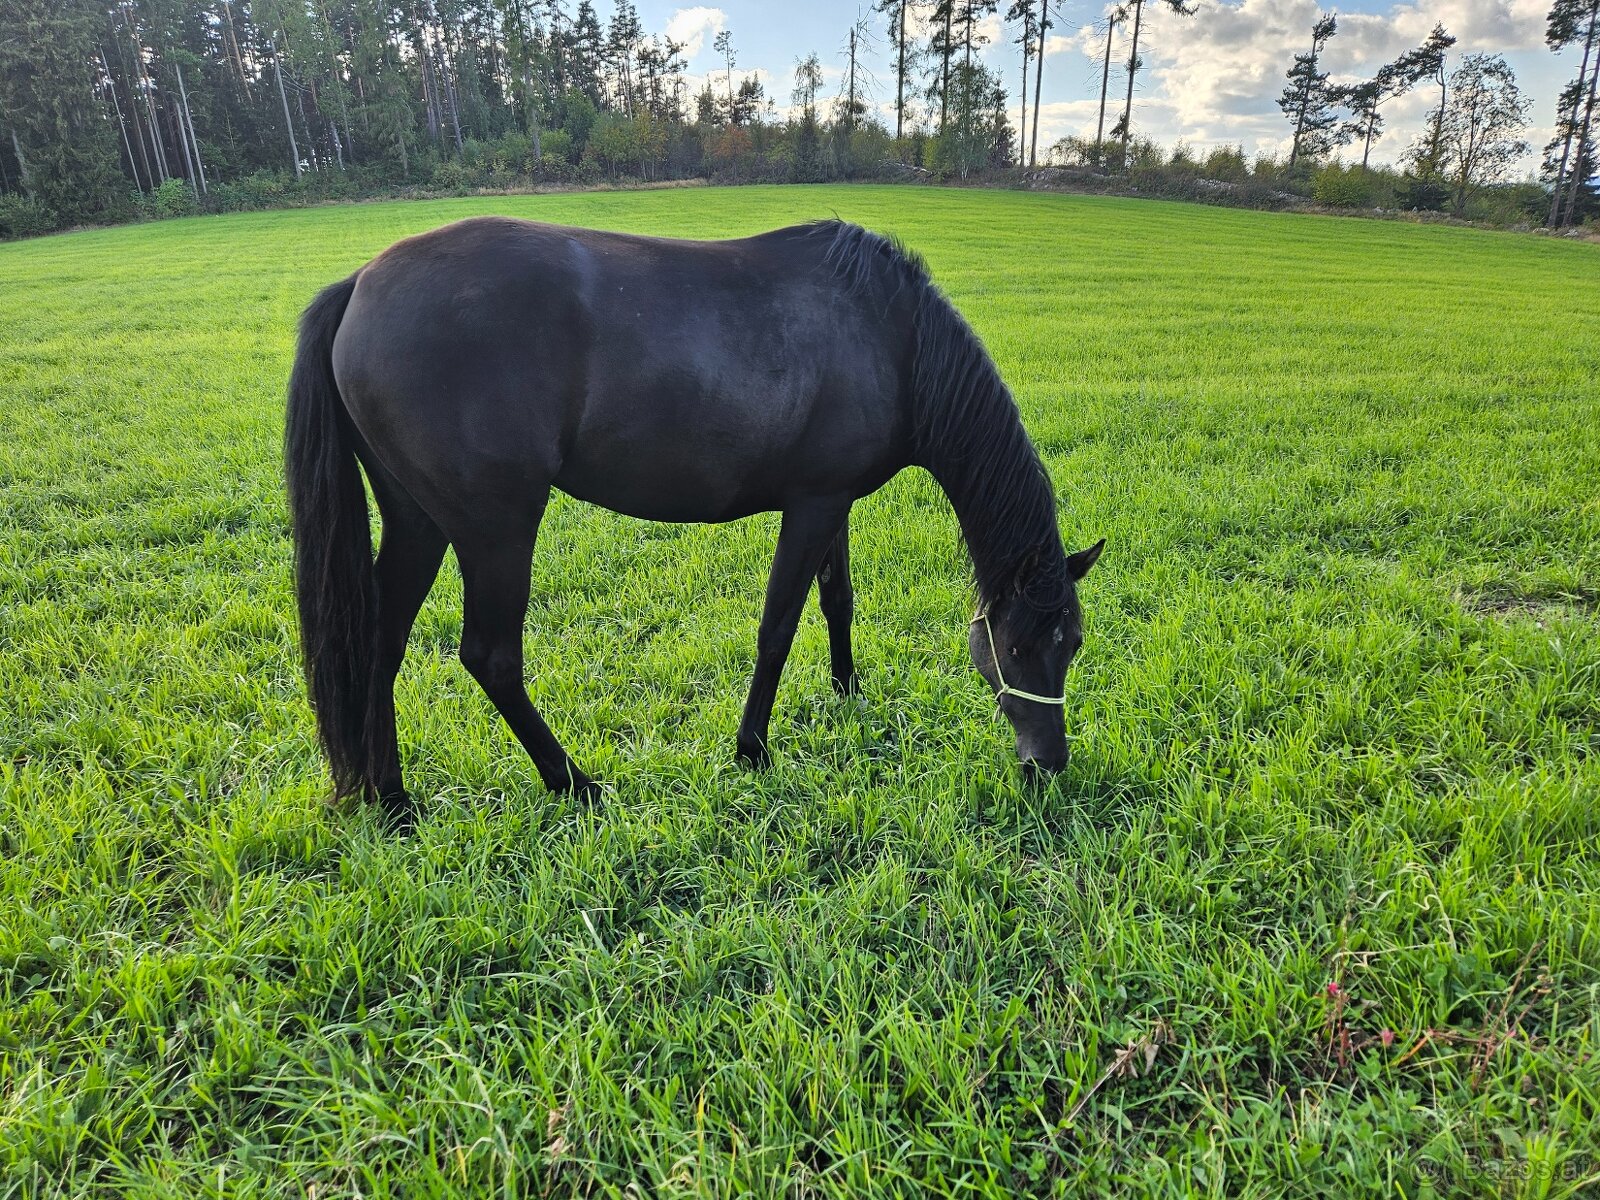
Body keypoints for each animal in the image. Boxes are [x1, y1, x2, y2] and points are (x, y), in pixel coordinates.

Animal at [285, 216, 1102, 824]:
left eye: (1073, 644)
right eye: (1021, 646)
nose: (1048, 764)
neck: (890, 337)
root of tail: (359, 286)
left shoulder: (835, 501)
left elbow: (837, 602)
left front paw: (847, 695)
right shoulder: (811, 505)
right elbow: (778, 628)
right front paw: (752, 749)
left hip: (419, 523)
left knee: (380, 643)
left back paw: (393, 798)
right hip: (497, 529)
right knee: (490, 657)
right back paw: (573, 783)